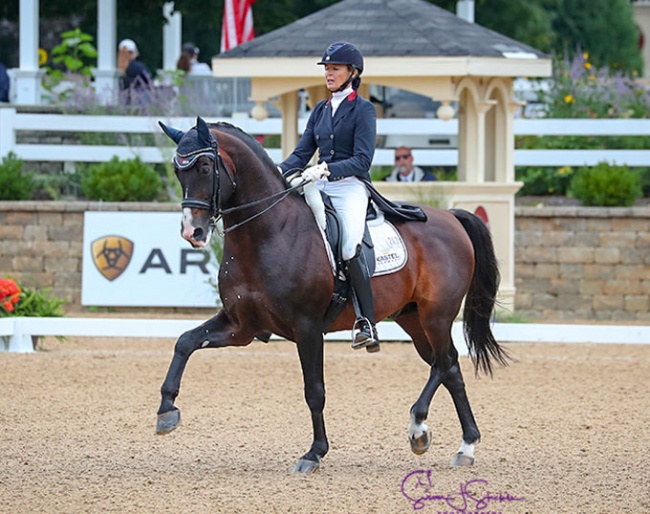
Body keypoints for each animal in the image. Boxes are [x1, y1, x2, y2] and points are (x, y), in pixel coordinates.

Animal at [156, 116, 506, 472]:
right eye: (177, 172)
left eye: (204, 166)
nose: (193, 232)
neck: (268, 233)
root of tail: (451, 217)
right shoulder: (241, 326)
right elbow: (185, 341)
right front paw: (166, 410)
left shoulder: (307, 328)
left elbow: (314, 390)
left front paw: (314, 452)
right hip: (413, 318)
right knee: (449, 368)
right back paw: (464, 445)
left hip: (436, 314)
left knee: (444, 362)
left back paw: (419, 426)